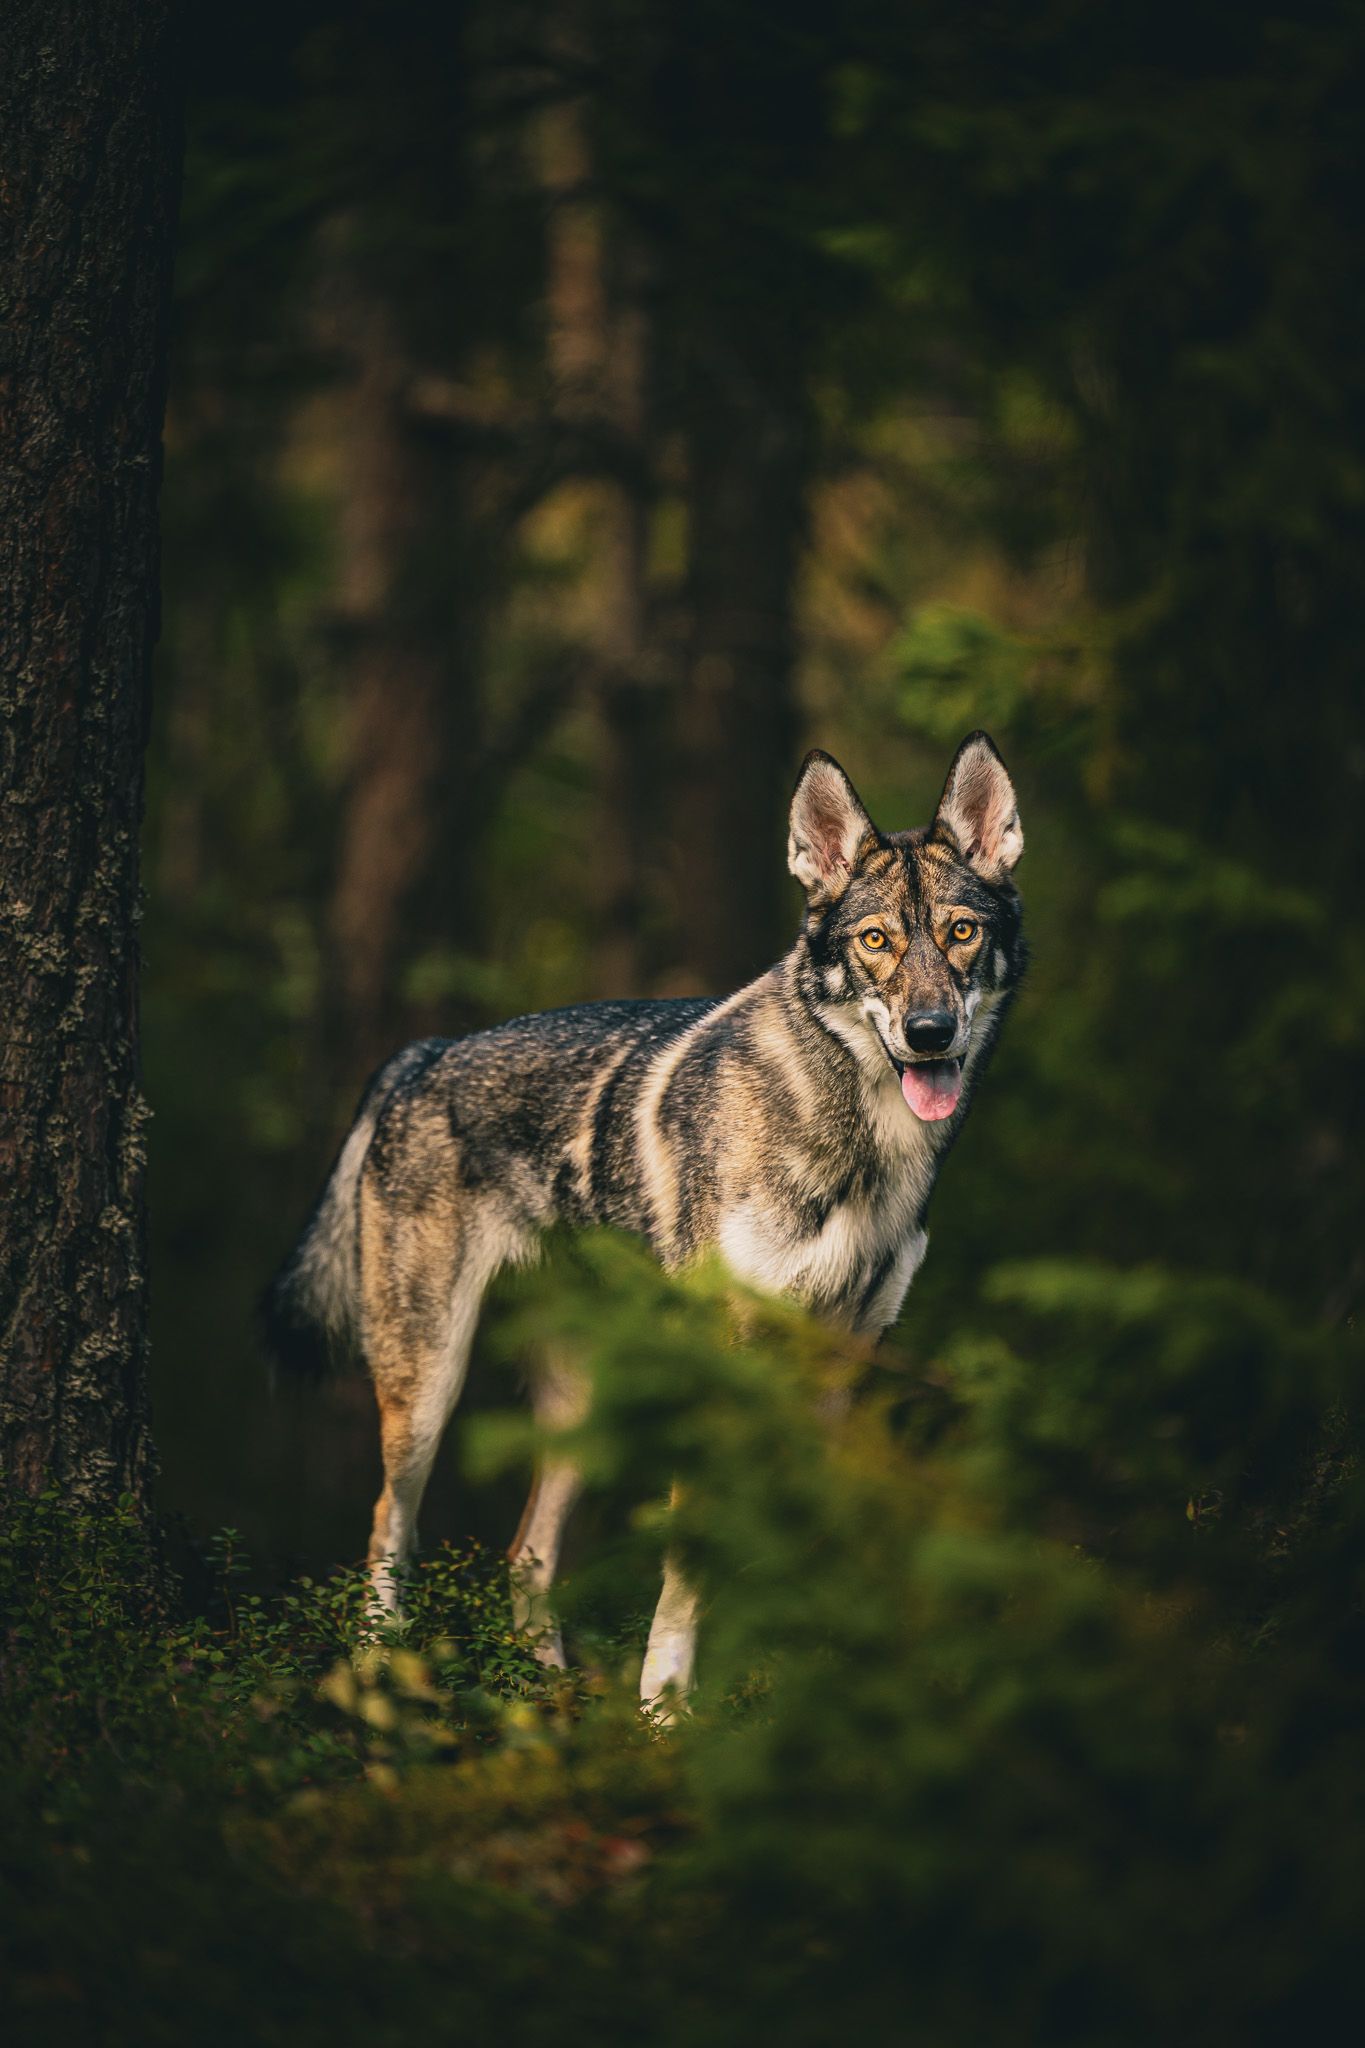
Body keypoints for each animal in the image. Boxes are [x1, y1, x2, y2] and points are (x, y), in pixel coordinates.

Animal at [261, 732, 1025, 1706]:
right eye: (876, 942)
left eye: (961, 934)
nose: (930, 1033)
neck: (858, 1147)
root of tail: (420, 1055)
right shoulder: (722, 1361)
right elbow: (688, 1565)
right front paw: (665, 1710)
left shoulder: (835, 1372)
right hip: (427, 1385)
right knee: (386, 1528)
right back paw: (379, 1681)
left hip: (581, 1406)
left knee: (526, 1554)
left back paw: (547, 1697)